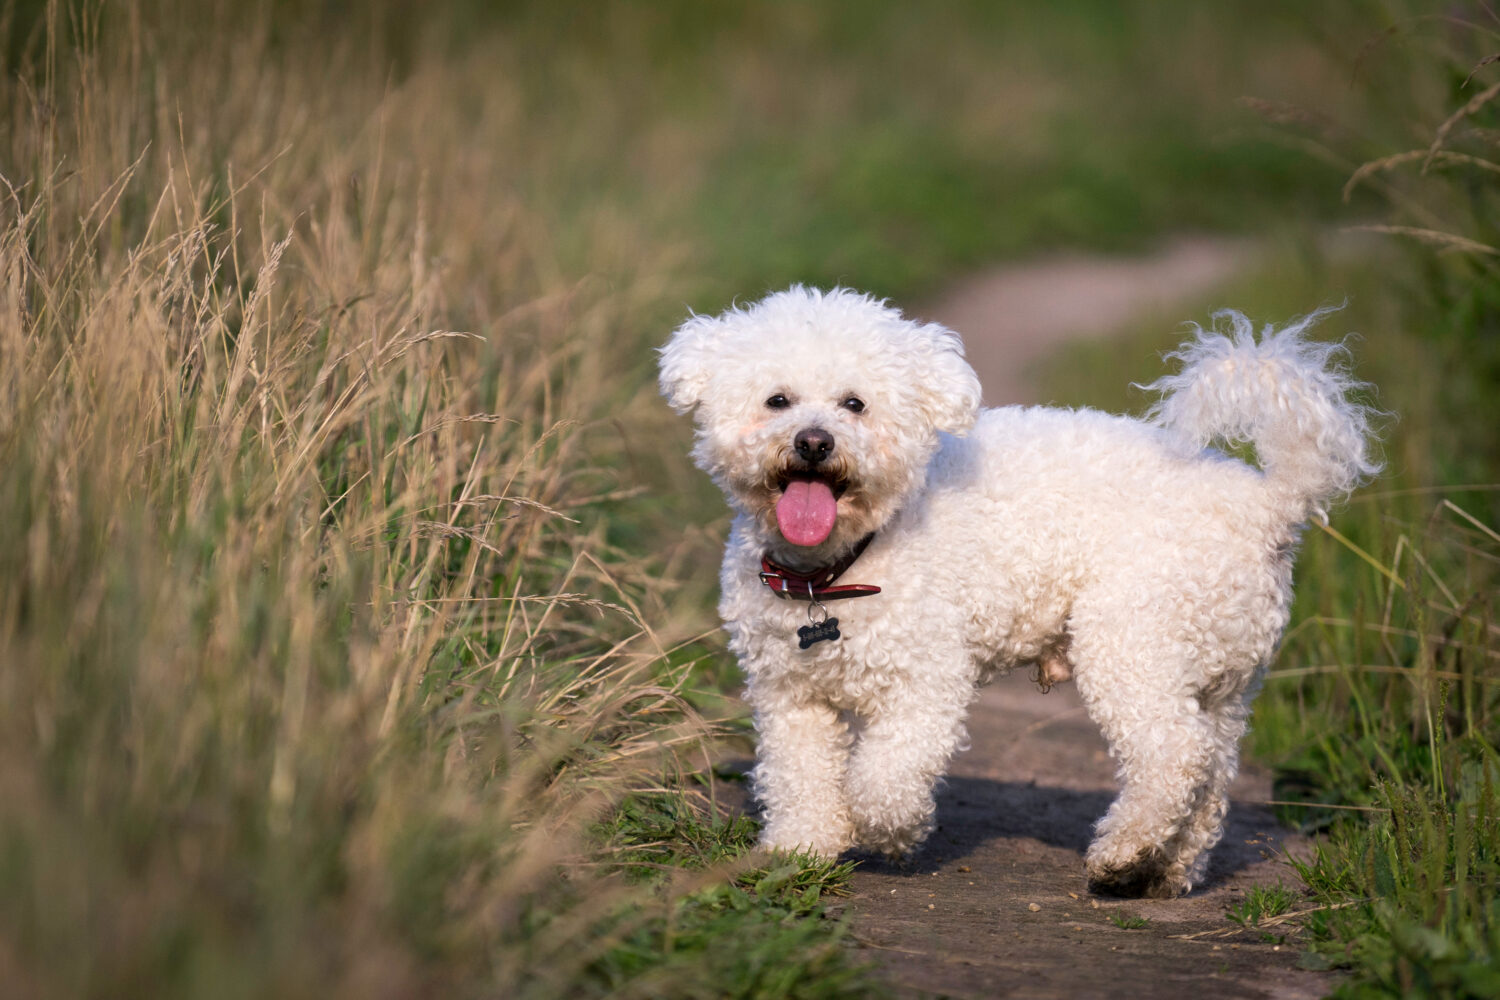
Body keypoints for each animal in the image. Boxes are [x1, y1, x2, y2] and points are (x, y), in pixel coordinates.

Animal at [663, 287, 1374, 899]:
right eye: (777, 400)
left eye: (854, 404)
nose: (814, 442)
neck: (835, 570)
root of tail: (1265, 504)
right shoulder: (789, 694)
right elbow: (798, 776)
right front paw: (802, 847)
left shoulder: (926, 682)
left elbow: (886, 775)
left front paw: (890, 833)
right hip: (1223, 680)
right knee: (1210, 776)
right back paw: (1164, 870)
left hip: (1131, 640)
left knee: (1174, 754)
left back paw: (1121, 852)